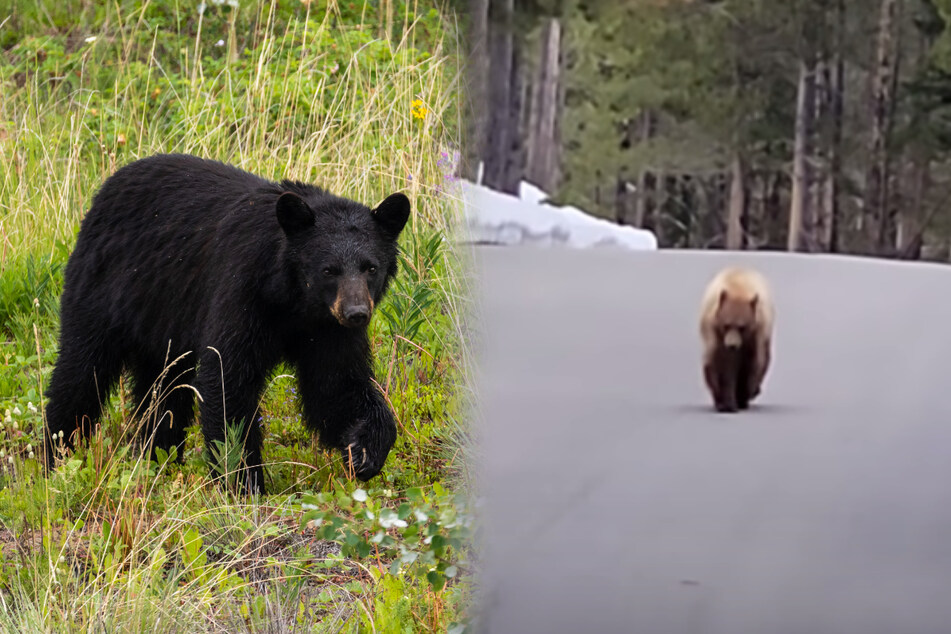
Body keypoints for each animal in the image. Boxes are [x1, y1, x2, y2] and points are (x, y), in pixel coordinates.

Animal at [43, 153, 411, 494]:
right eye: (328, 270)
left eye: (371, 267)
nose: (356, 313)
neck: (293, 300)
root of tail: (105, 189)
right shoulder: (242, 288)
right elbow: (227, 377)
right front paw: (245, 481)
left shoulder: (327, 330)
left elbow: (336, 385)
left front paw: (365, 451)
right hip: (102, 289)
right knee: (81, 372)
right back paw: (57, 458)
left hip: (161, 322)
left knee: (163, 394)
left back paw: (158, 458)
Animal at [698, 266, 774, 413]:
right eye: (726, 325)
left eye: (742, 327)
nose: (732, 345)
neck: (738, 291)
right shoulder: (716, 334)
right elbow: (721, 367)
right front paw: (726, 403)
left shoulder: (755, 335)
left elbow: (751, 364)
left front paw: (742, 397)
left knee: (765, 358)